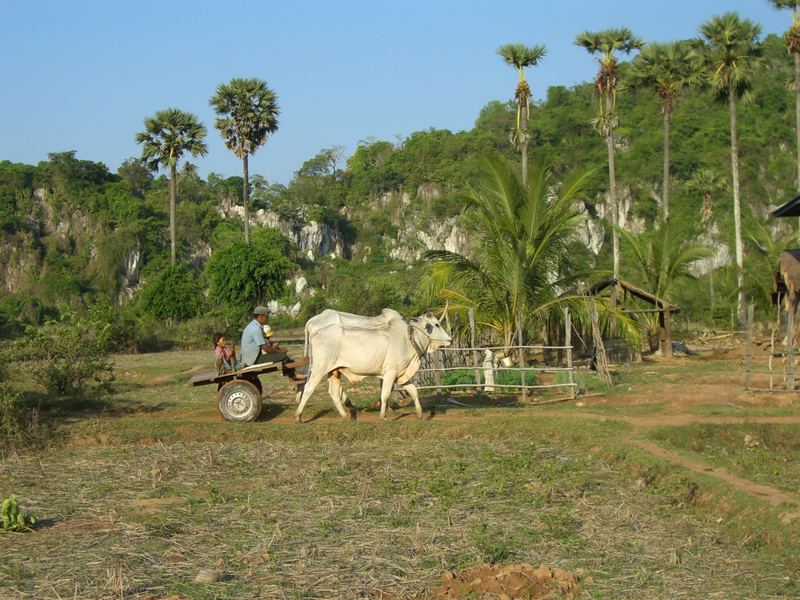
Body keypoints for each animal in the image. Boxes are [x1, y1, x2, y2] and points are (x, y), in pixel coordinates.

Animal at [298, 314, 454, 422]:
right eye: (436, 324)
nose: (450, 340)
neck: (408, 340)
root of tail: (317, 332)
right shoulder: (390, 373)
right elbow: (385, 394)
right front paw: (383, 416)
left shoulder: (401, 375)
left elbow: (414, 391)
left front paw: (420, 414)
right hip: (319, 369)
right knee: (308, 388)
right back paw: (299, 416)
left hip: (334, 371)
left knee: (334, 392)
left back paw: (345, 416)